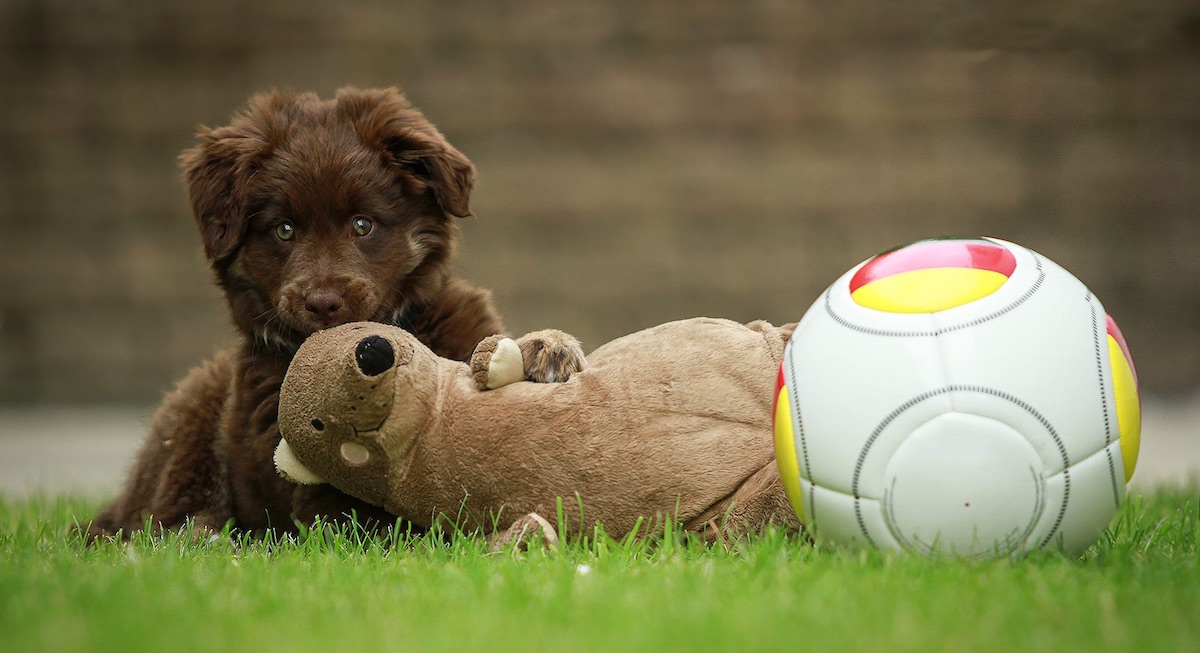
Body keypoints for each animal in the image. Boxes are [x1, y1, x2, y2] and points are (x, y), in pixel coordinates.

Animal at [87, 85, 583, 540]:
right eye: (284, 230)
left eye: (363, 225)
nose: (323, 302)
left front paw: (547, 349)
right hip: (191, 420)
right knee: (165, 522)